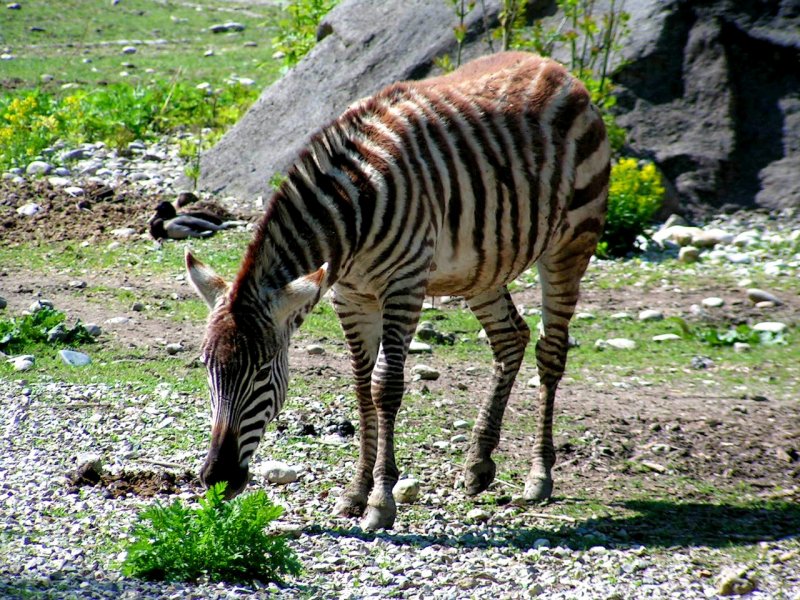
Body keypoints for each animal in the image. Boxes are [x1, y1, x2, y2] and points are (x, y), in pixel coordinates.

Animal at [188, 51, 608, 528]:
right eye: (206, 367)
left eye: (261, 371)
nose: (216, 479)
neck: (354, 205)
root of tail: (555, 67)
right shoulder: (350, 296)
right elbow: (360, 386)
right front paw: (355, 491)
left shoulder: (403, 286)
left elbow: (384, 386)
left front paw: (380, 501)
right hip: (483, 262)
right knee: (510, 338)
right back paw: (478, 464)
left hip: (571, 241)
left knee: (550, 350)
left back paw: (539, 475)